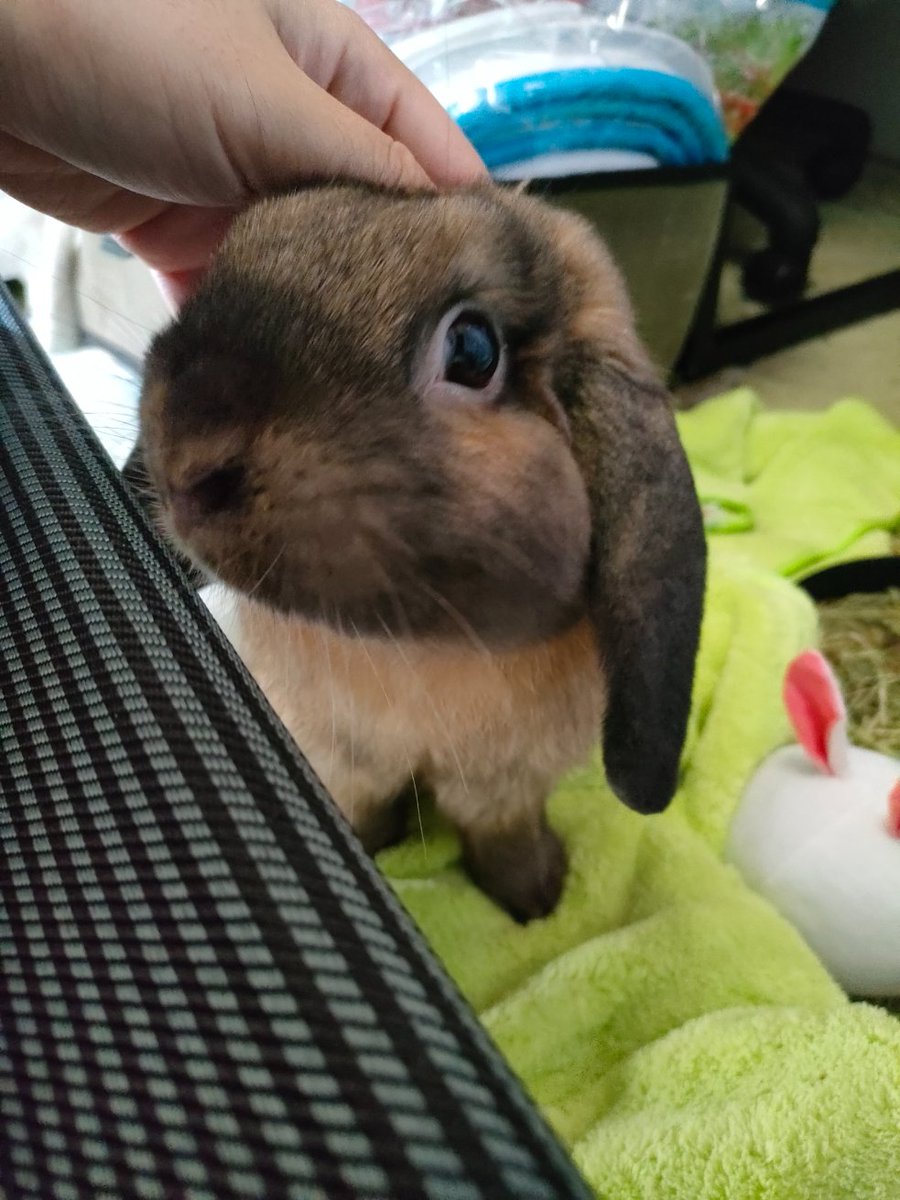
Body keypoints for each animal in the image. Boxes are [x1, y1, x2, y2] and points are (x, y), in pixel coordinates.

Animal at [124, 182, 707, 921]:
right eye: (240, 245)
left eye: (473, 350)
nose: (185, 466)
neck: (417, 650)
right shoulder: (341, 758)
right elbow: (363, 811)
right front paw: (373, 856)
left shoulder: (504, 781)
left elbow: (502, 835)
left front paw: (537, 903)